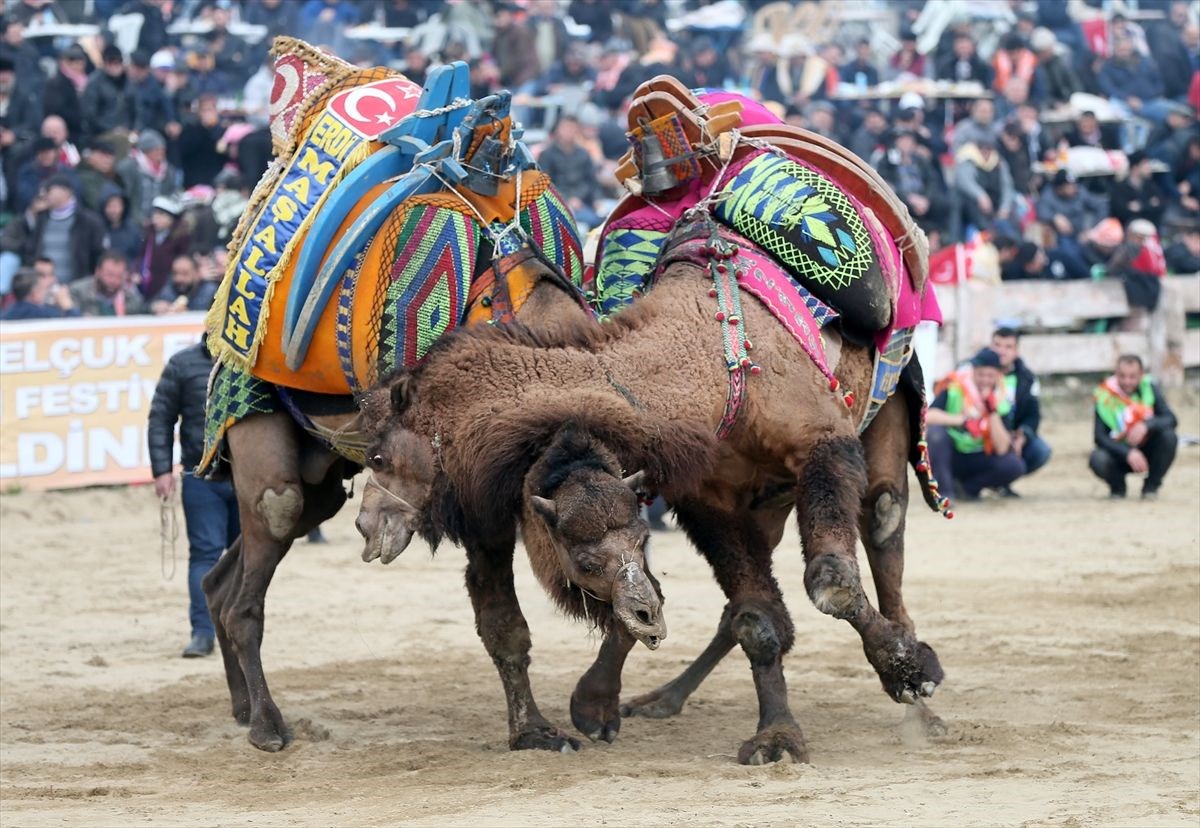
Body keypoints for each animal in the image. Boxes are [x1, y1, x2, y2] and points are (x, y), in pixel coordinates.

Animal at [374, 219, 945, 763]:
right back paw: (640, 700)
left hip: (886, 411)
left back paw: (923, 694)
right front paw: (777, 736)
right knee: (742, 603)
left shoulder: (823, 441)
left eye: (382, 453)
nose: (374, 520)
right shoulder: (708, 493)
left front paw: (908, 670)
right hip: (766, 499)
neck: (720, 359)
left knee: (883, 525)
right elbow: (756, 618)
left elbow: (832, 581)